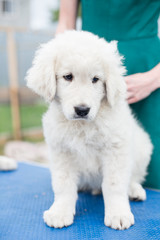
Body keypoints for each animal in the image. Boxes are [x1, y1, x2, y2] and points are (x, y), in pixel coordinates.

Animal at [26, 31, 152, 230]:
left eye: (95, 79)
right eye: (68, 77)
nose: (82, 110)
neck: (82, 125)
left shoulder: (116, 149)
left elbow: (114, 184)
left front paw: (118, 214)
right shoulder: (62, 151)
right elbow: (63, 184)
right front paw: (60, 212)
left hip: (142, 149)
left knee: (134, 176)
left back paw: (134, 190)